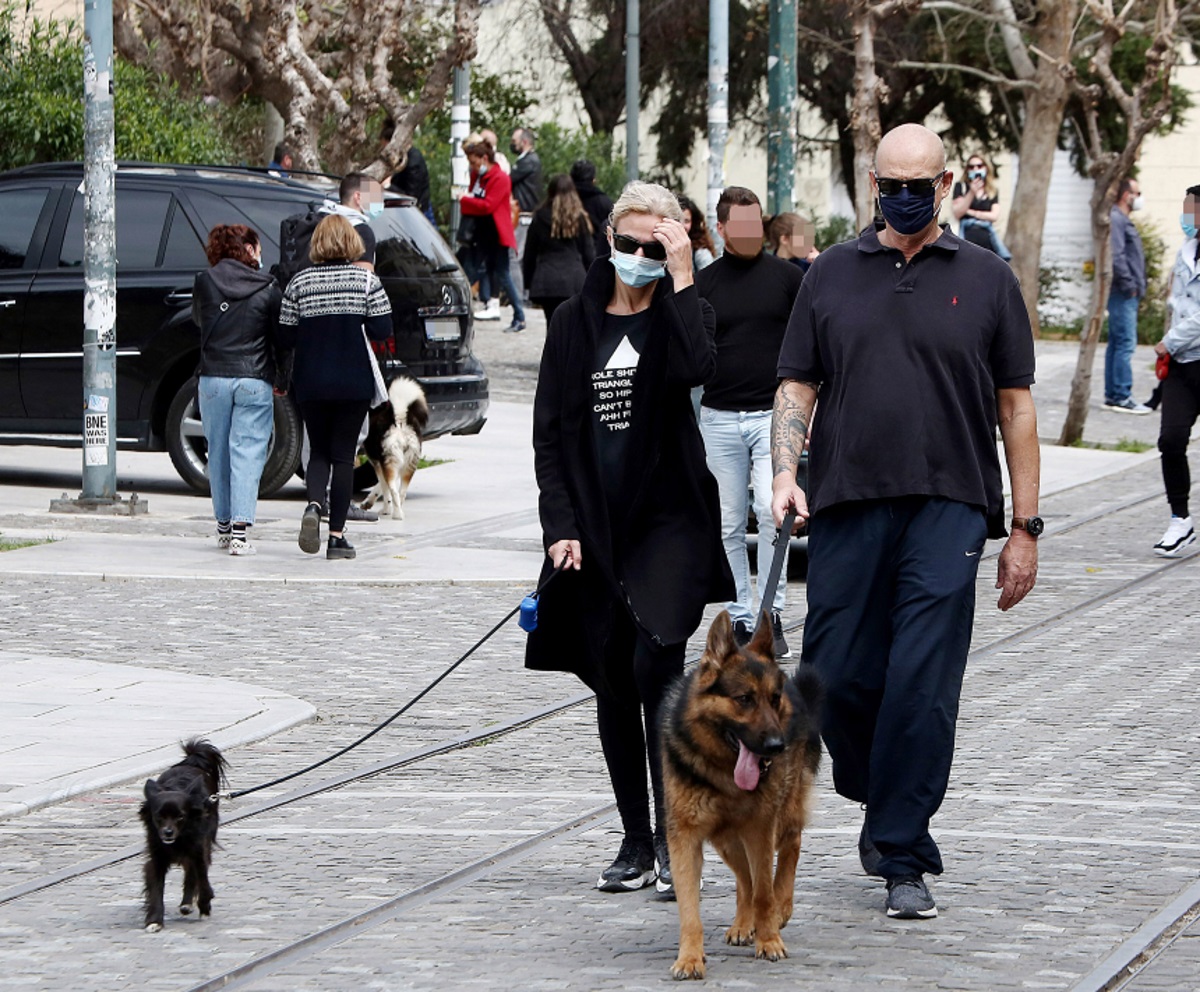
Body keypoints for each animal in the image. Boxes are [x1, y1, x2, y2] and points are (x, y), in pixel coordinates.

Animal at [138, 738, 226, 935]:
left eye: (180, 817)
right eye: (158, 817)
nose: (167, 832)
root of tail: (192, 761)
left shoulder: (198, 849)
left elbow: (201, 878)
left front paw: (205, 905)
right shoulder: (157, 857)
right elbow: (156, 889)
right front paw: (155, 920)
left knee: (192, 873)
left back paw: (188, 903)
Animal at [360, 376, 432, 522]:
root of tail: (399, 421)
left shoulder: (377, 463)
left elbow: (385, 488)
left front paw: (385, 510)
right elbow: (382, 486)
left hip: (391, 462)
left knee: (393, 490)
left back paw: (397, 515)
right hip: (409, 464)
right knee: (402, 492)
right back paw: (399, 510)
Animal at [662, 609, 820, 983]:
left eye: (774, 699)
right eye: (744, 699)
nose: (776, 747)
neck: (722, 771)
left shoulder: (760, 828)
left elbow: (763, 890)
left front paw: (769, 939)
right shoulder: (685, 839)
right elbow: (690, 908)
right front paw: (690, 957)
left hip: (779, 814)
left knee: (789, 846)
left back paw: (780, 908)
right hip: (724, 838)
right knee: (744, 878)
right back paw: (743, 923)